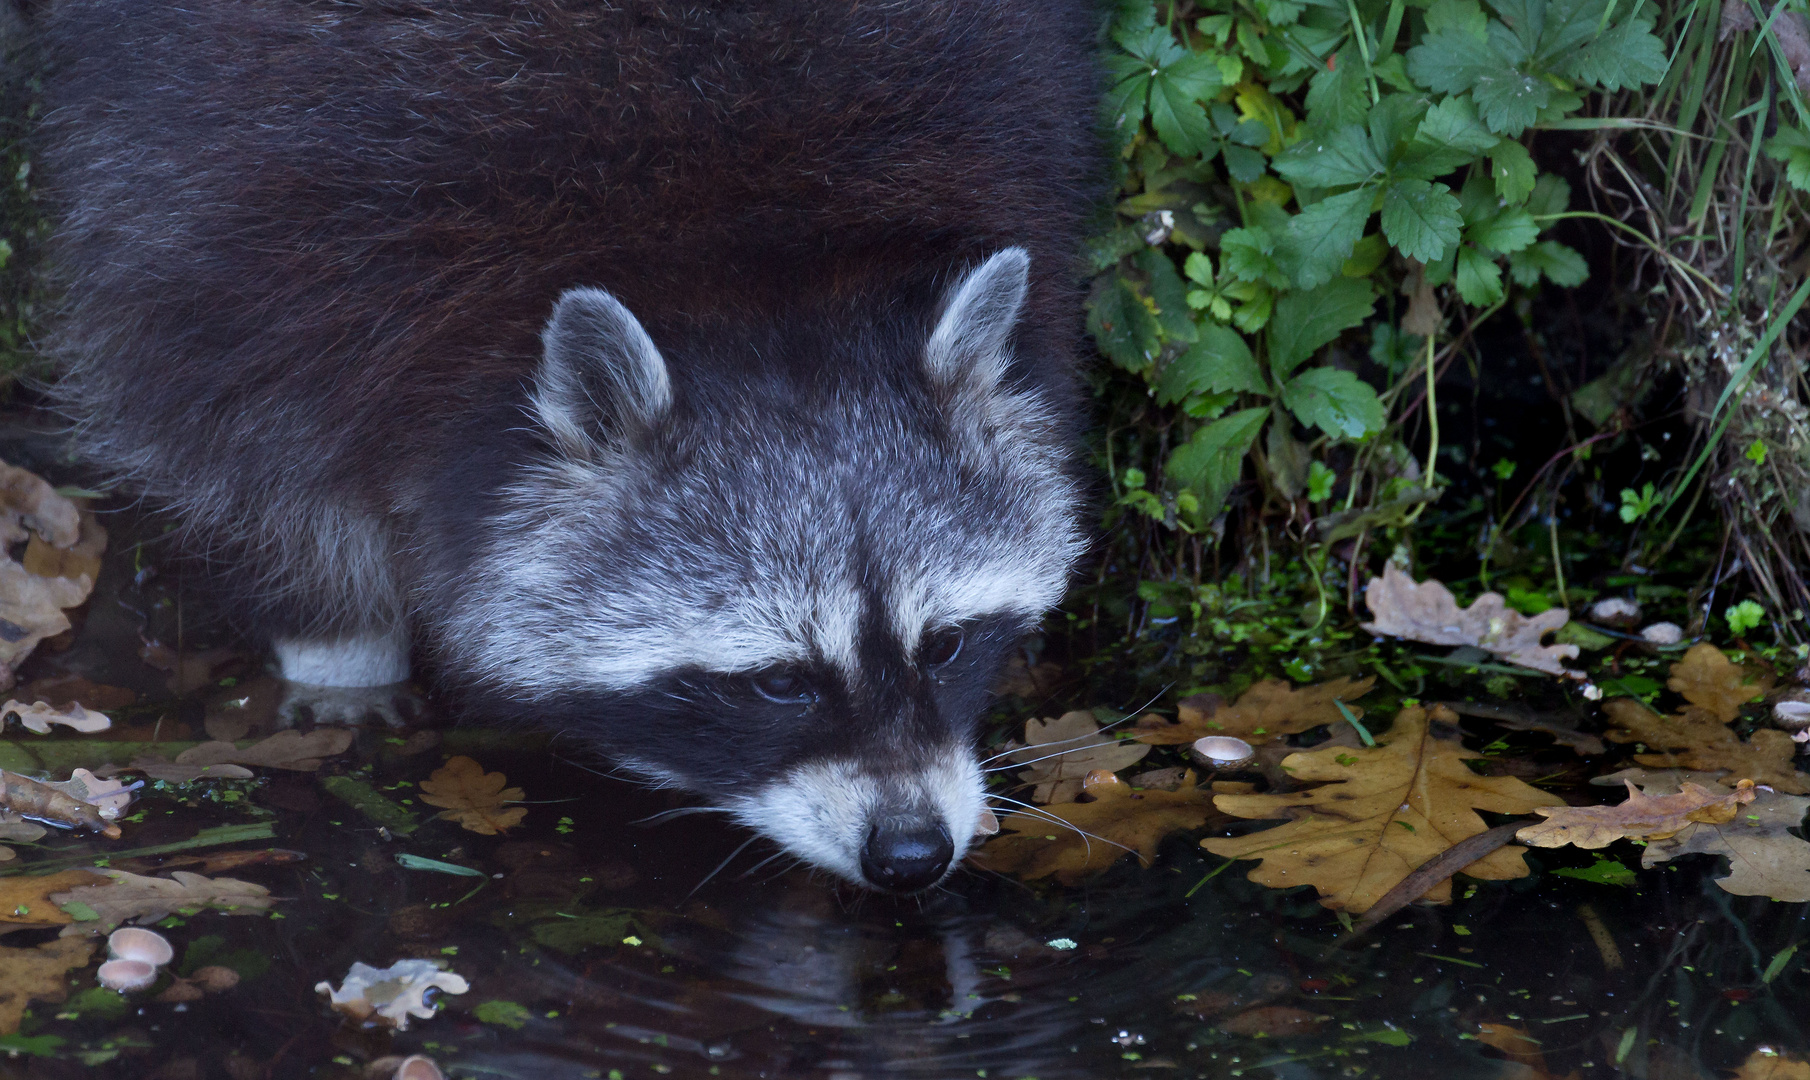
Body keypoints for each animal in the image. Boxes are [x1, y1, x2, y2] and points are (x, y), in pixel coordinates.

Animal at [24, 0, 1100, 893]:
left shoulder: (989, 110)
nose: (912, 855)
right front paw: (337, 645)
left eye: (946, 644)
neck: (740, 261)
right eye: (779, 681)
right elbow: (233, 438)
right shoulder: (264, 213)